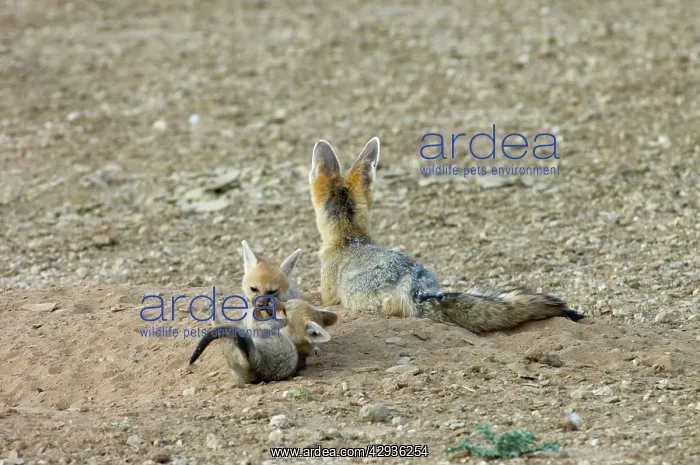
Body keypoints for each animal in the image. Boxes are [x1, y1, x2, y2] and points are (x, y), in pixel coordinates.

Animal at [190, 299, 338, 385]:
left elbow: (249, 314)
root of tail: (256, 364)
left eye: (285, 311)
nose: (267, 301)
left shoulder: (255, 326)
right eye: (286, 302)